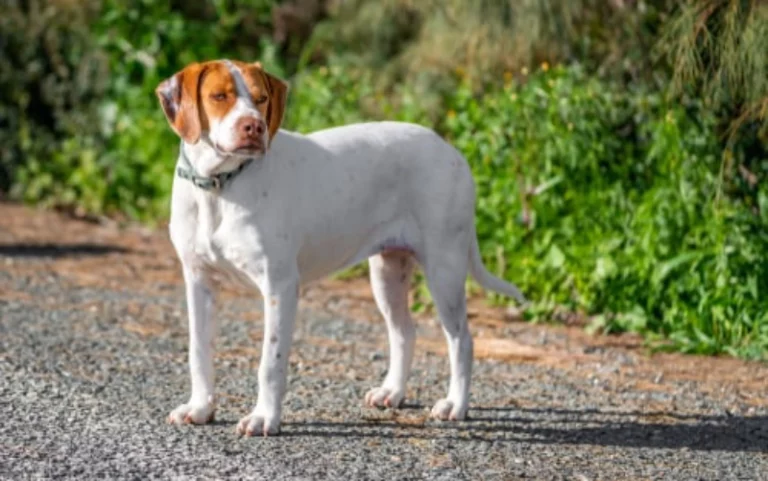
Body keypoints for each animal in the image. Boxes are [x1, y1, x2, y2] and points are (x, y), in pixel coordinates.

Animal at [156, 59, 528, 436]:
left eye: (262, 99)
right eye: (219, 96)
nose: (255, 127)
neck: (219, 187)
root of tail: (452, 153)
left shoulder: (279, 286)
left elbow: (270, 363)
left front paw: (264, 417)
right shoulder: (199, 282)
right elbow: (198, 352)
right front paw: (200, 408)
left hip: (444, 271)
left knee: (461, 340)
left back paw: (455, 404)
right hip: (388, 273)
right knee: (404, 331)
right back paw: (392, 392)